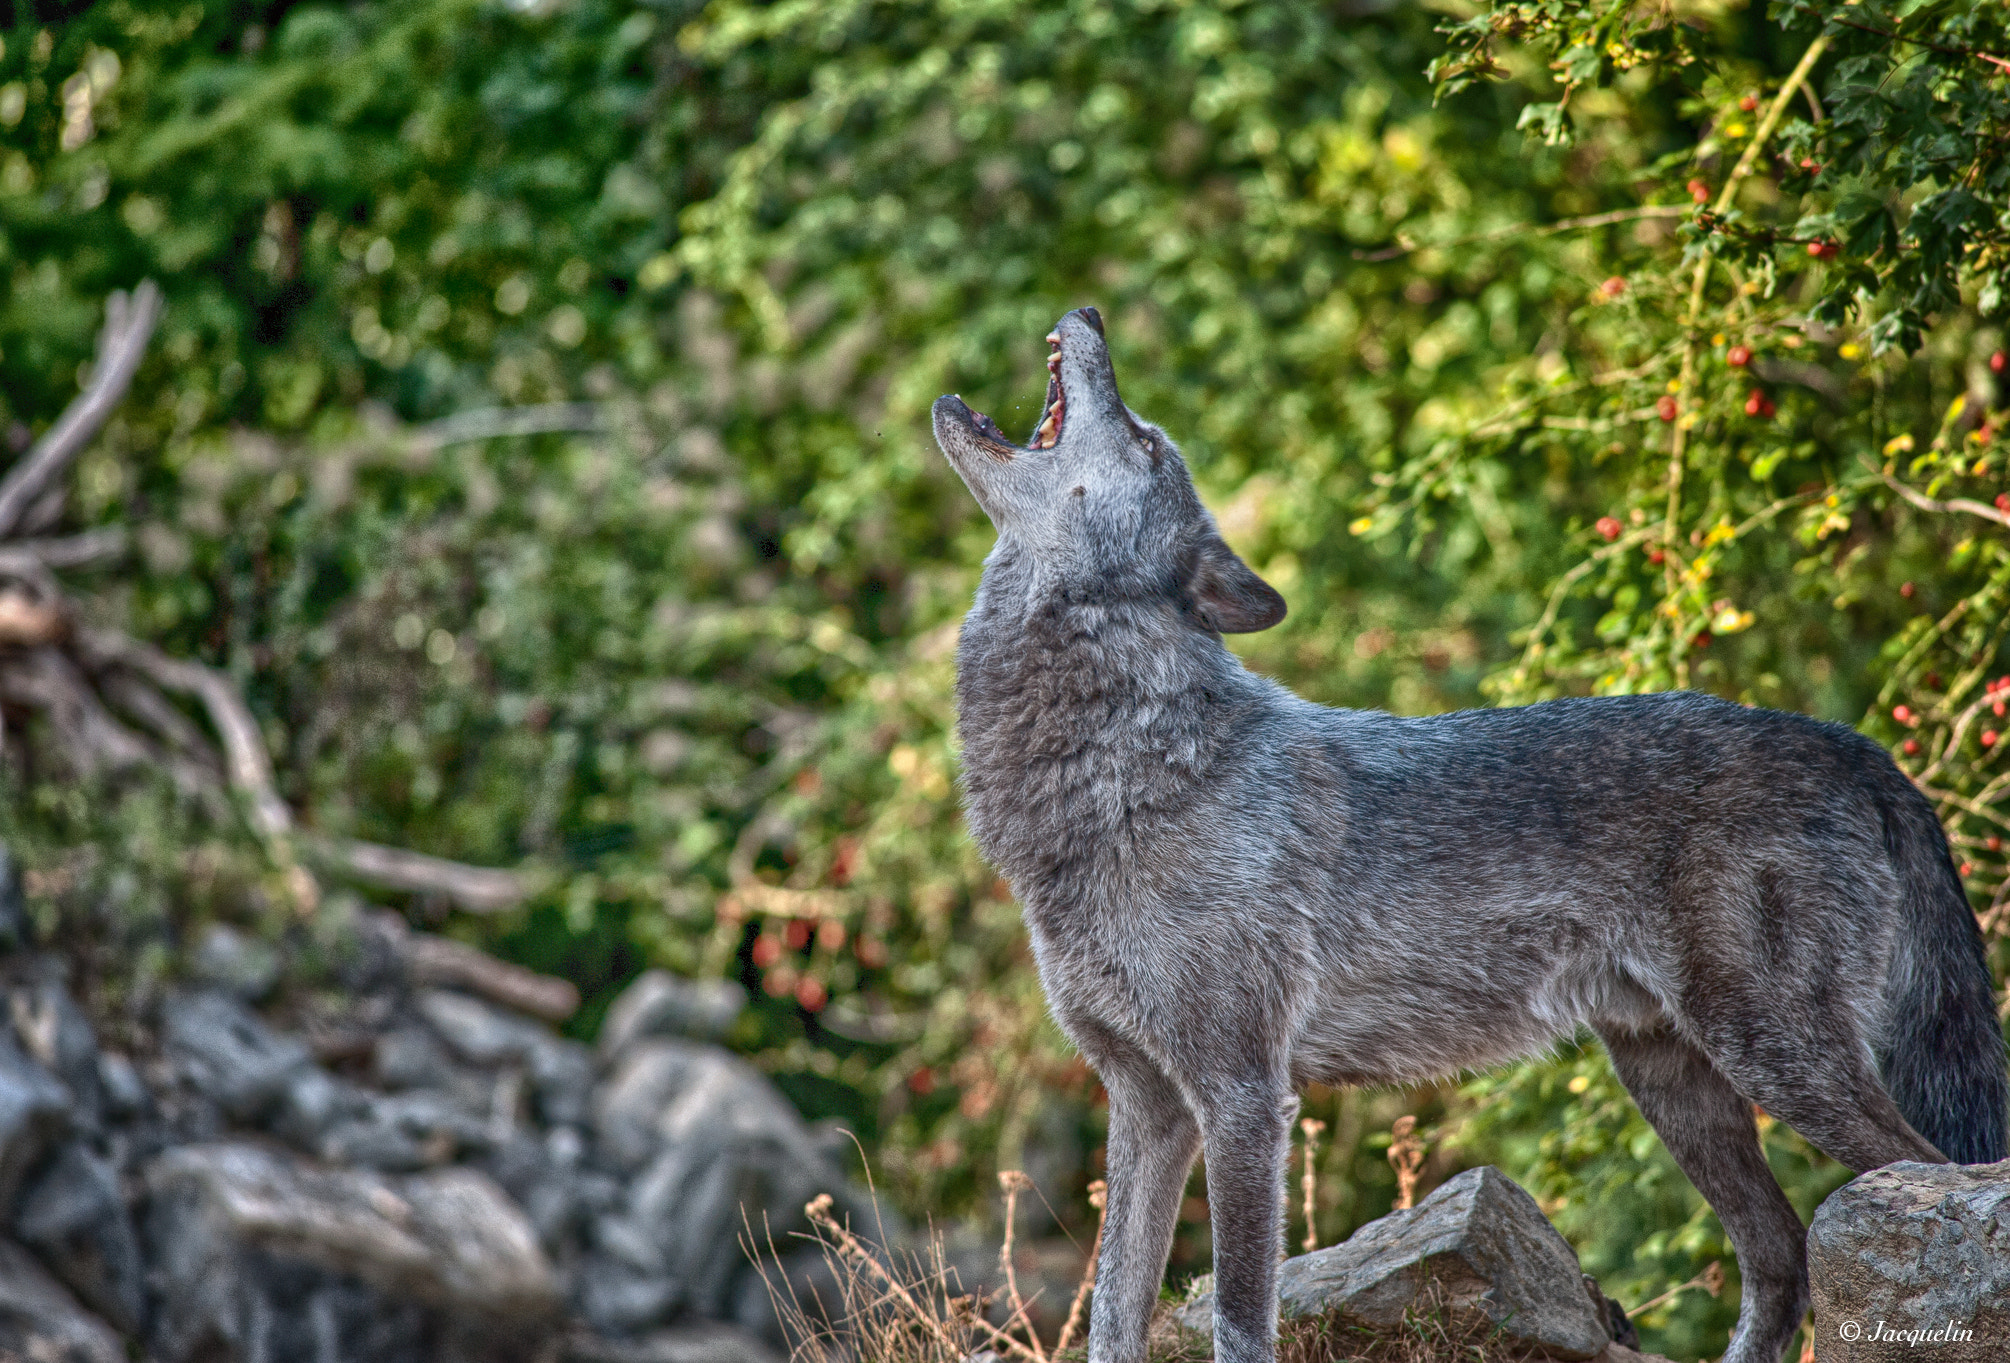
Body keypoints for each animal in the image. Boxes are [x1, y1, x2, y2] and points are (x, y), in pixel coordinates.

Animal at [928, 309, 2010, 1363]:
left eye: (1148, 442)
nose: (1090, 310)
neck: (1137, 764)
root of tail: (1857, 748)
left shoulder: (1241, 1096)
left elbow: (1238, 1317)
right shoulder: (1147, 1105)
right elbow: (1112, 1313)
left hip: (1777, 1059)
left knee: (1908, 1194)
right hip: (1676, 1082)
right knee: (1781, 1257)